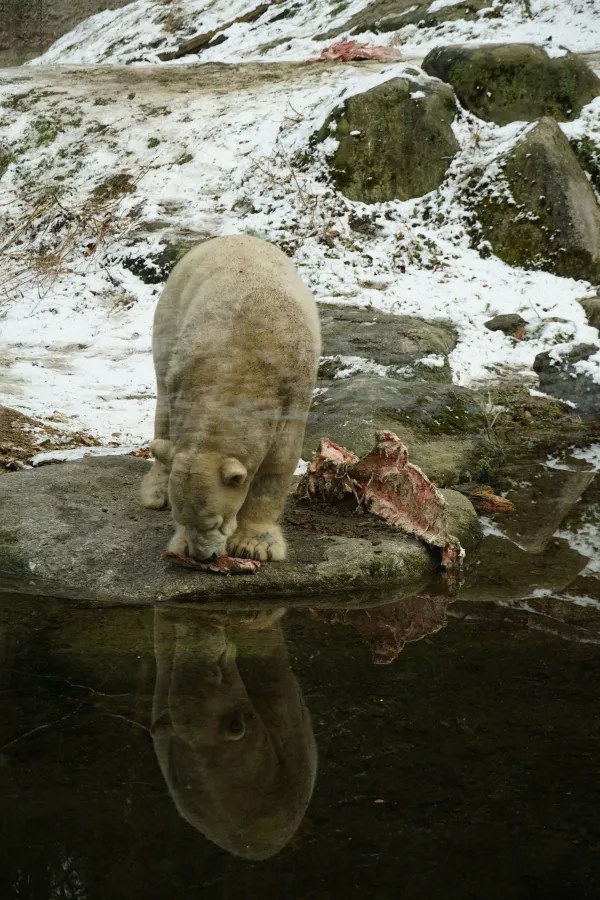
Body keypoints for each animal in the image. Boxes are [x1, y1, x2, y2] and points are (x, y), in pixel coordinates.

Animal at [140, 234, 321, 562]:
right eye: (180, 518)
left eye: (216, 522)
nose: (202, 556)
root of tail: (231, 237)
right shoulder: (184, 378)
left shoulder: (292, 397)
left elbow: (277, 467)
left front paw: (255, 545)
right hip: (171, 309)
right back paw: (154, 491)